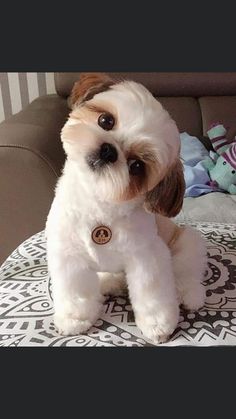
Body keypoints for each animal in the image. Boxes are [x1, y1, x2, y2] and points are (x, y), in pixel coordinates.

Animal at [45, 74, 206, 344]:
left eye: (137, 166)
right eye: (105, 120)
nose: (108, 150)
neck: (98, 203)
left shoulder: (147, 257)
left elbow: (152, 295)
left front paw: (158, 326)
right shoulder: (69, 255)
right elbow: (75, 292)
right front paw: (75, 319)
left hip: (188, 242)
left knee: (187, 271)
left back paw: (190, 294)